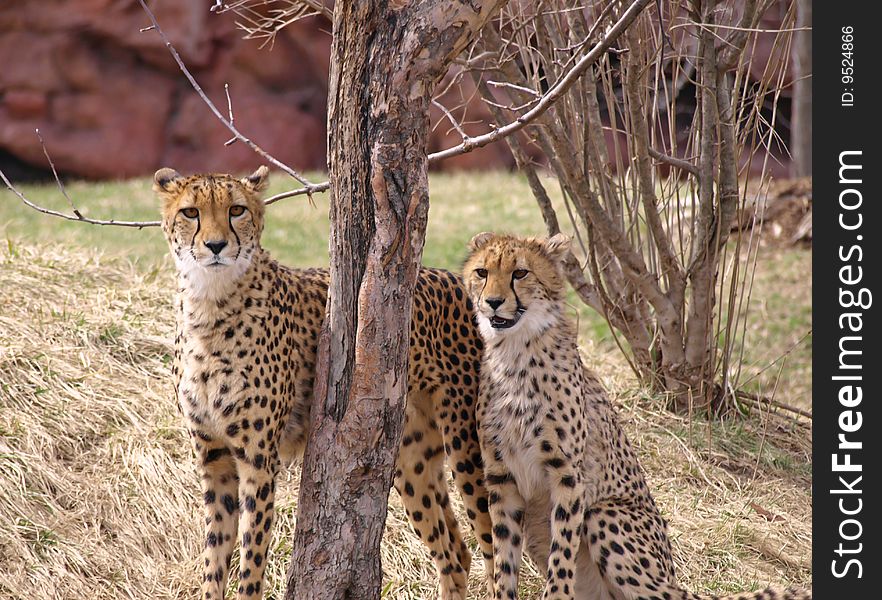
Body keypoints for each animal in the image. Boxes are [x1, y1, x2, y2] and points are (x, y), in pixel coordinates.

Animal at [154, 165, 492, 600]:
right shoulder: (215, 460)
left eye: (236, 210)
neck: (209, 305)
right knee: (454, 550)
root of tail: (456, 280)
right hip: (406, 453)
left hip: (469, 446)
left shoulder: (258, 459)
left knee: (497, 545)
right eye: (191, 212)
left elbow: (251, 560)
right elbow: (214, 561)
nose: (215, 246)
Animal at [460, 231, 812, 600]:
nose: (493, 302)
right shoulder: (502, 478)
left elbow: (562, 556)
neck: (514, 353)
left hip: (605, 515)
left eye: (520, 273)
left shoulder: (567, 475)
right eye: (482, 272)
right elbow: (504, 559)